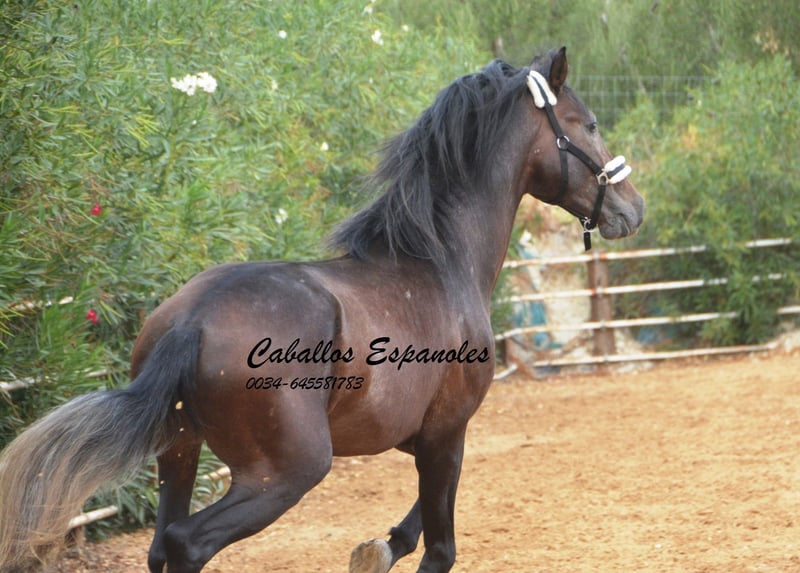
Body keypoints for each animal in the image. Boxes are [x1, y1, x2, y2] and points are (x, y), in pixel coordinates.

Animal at [0, 47, 643, 573]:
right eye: (590, 124)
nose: (633, 209)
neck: (440, 263)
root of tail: (191, 321)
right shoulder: (446, 431)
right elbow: (439, 547)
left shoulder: (422, 437)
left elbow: (414, 525)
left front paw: (377, 549)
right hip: (284, 472)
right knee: (186, 544)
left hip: (179, 453)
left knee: (163, 545)